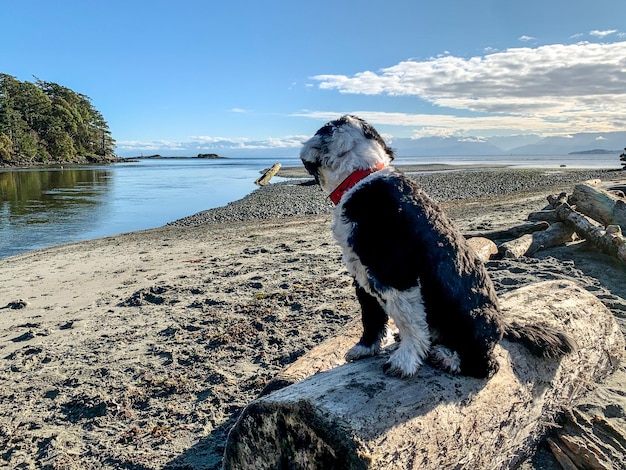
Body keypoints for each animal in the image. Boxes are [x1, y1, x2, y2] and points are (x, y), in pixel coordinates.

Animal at [300, 115, 572, 380]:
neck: (362, 177)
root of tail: (503, 324)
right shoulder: (362, 271)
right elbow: (371, 314)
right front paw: (365, 347)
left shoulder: (396, 273)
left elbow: (408, 320)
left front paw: (404, 360)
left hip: (469, 319)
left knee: (485, 365)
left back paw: (447, 358)